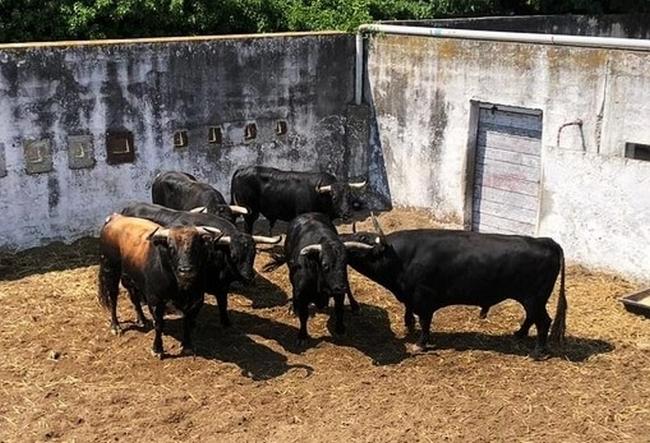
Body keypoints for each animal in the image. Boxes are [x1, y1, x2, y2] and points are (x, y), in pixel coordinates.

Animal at [342, 220, 564, 360]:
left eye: (362, 237)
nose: (340, 237)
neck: (401, 258)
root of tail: (546, 241)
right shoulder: (411, 297)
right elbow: (410, 313)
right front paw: (409, 327)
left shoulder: (423, 298)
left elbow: (425, 322)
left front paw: (421, 343)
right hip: (532, 300)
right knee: (532, 318)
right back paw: (519, 333)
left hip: (534, 298)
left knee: (543, 321)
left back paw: (538, 352)